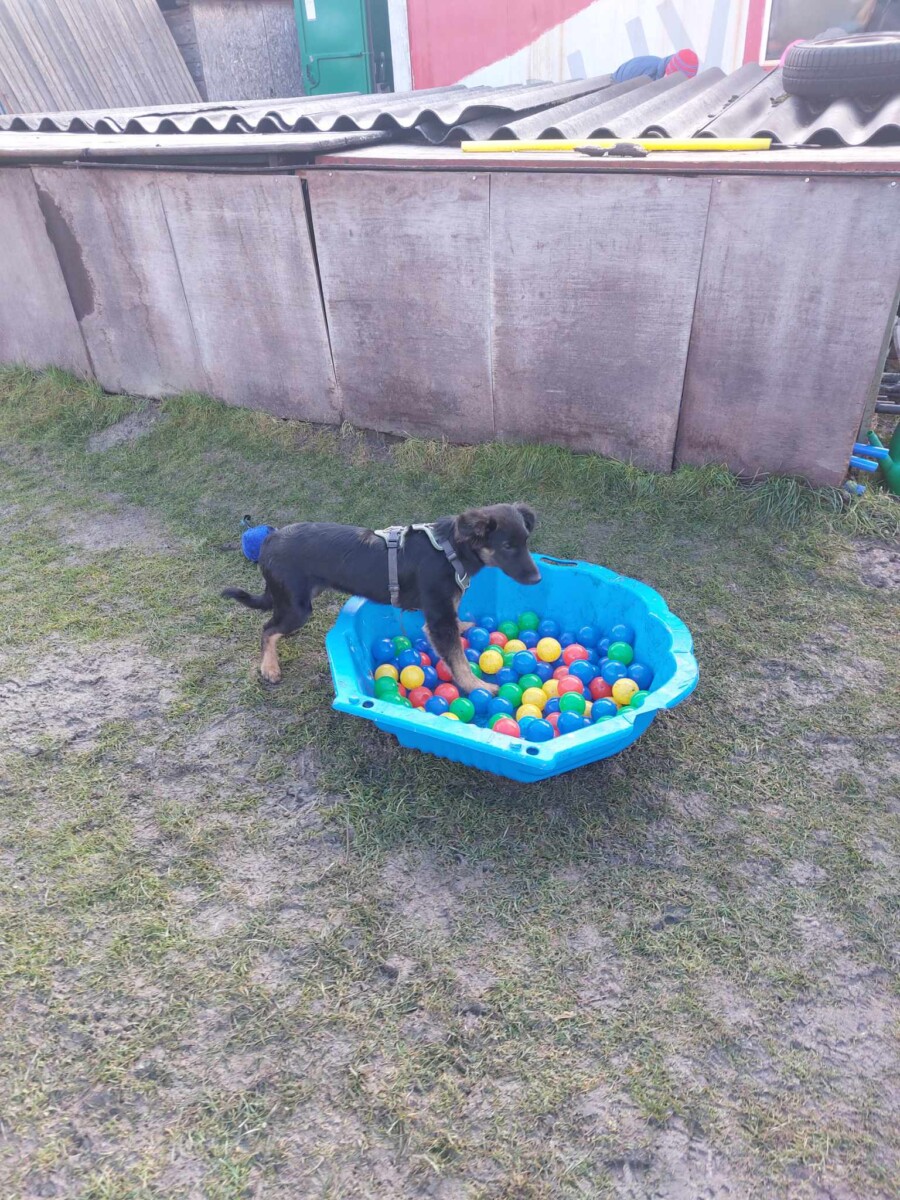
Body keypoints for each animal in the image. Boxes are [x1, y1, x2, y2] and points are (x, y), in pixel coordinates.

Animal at [223, 503, 541, 693]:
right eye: (508, 546)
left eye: (526, 542)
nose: (538, 580)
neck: (451, 549)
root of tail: (268, 540)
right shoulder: (439, 619)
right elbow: (457, 658)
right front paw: (478, 686)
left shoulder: (441, 615)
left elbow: (455, 633)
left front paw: (464, 628)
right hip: (298, 608)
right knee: (267, 629)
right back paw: (269, 667)